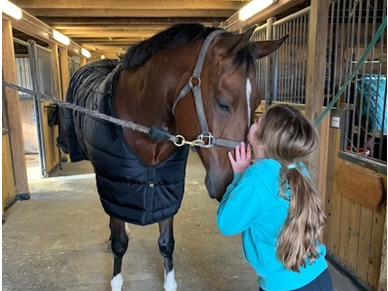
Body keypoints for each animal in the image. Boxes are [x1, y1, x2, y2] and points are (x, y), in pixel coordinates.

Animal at [59, 23, 284, 291]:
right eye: (223, 103)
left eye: (258, 101)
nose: (233, 182)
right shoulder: (115, 186)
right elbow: (120, 243)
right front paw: (116, 281)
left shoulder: (166, 190)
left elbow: (166, 242)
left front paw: (170, 282)